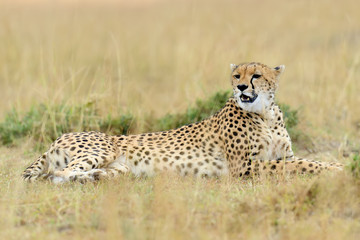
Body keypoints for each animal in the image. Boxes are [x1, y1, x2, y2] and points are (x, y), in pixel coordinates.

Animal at [22, 62, 344, 183]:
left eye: (256, 75)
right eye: (236, 75)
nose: (241, 87)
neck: (265, 113)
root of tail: (57, 138)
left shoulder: (281, 154)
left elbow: (306, 160)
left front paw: (338, 165)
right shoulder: (244, 168)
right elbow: (301, 165)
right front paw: (336, 170)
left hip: (120, 166)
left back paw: (96, 178)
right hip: (101, 149)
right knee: (59, 174)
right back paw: (86, 177)